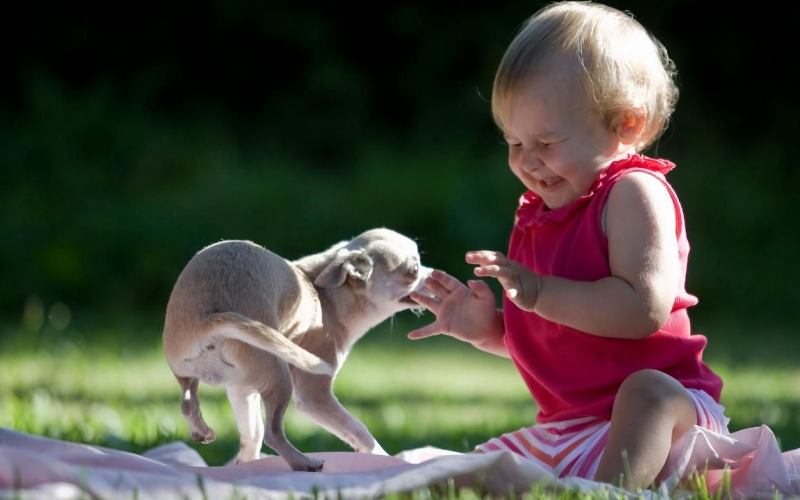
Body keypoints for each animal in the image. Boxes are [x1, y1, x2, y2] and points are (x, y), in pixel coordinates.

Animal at [161, 229, 432, 470]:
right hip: (279, 376)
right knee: (272, 433)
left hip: (190, 371)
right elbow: (359, 429)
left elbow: (251, 433)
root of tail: (208, 319)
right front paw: (383, 457)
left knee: (189, 402)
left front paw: (245, 464)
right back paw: (304, 462)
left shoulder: (241, 389)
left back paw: (201, 430)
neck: (327, 297)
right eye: (414, 270)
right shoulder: (314, 396)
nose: (434, 274)